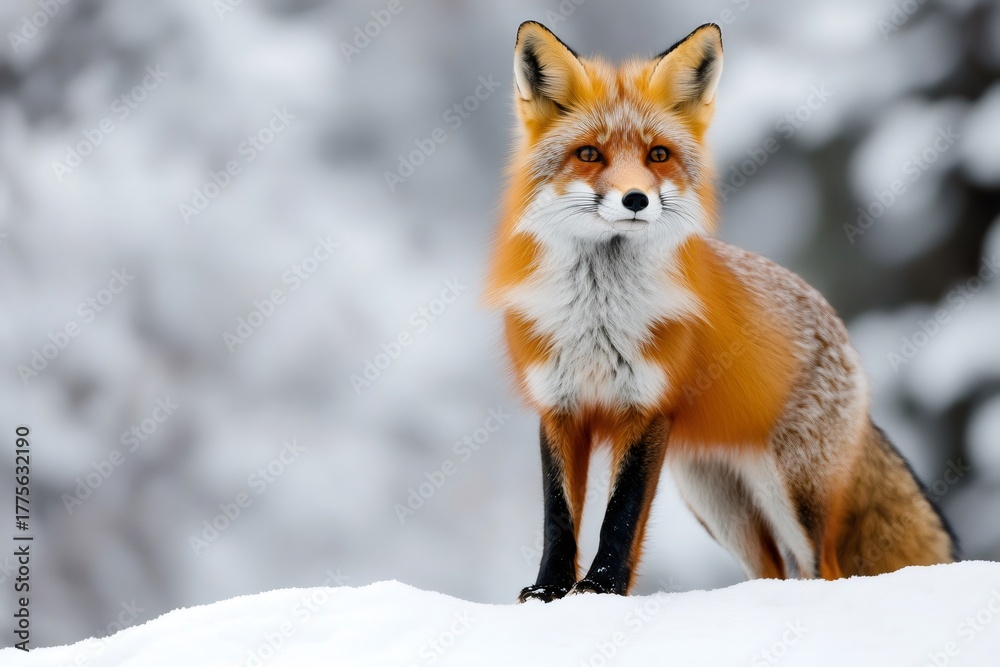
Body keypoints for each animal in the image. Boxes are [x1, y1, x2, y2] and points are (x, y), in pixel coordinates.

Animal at [486, 21, 958, 603]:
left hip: (791, 493)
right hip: (715, 500)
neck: (599, 316)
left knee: (822, 569)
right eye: (590, 154)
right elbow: (559, 518)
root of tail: (838, 327)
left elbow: (619, 519)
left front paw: (599, 589)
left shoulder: (645, 410)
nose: (637, 199)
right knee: (774, 571)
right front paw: (550, 592)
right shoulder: (560, 407)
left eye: (658, 154)